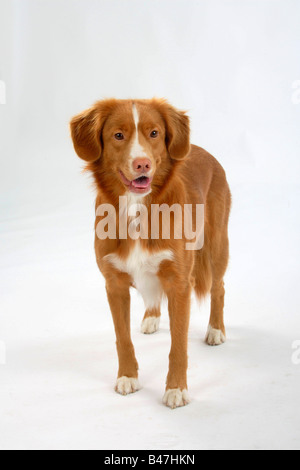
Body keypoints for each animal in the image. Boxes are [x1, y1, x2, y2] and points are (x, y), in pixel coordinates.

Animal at [69, 98, 230, 408]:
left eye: (154, 133)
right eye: (118, 135)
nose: (141, 163)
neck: (137, 209)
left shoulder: (180, 282)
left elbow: (178, 344)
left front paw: (176, 388)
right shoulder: (114, 284)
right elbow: (122, 338)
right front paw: (127, 376)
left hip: (216, 246)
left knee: (218, 287)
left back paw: (216, 330)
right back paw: (152, 317)